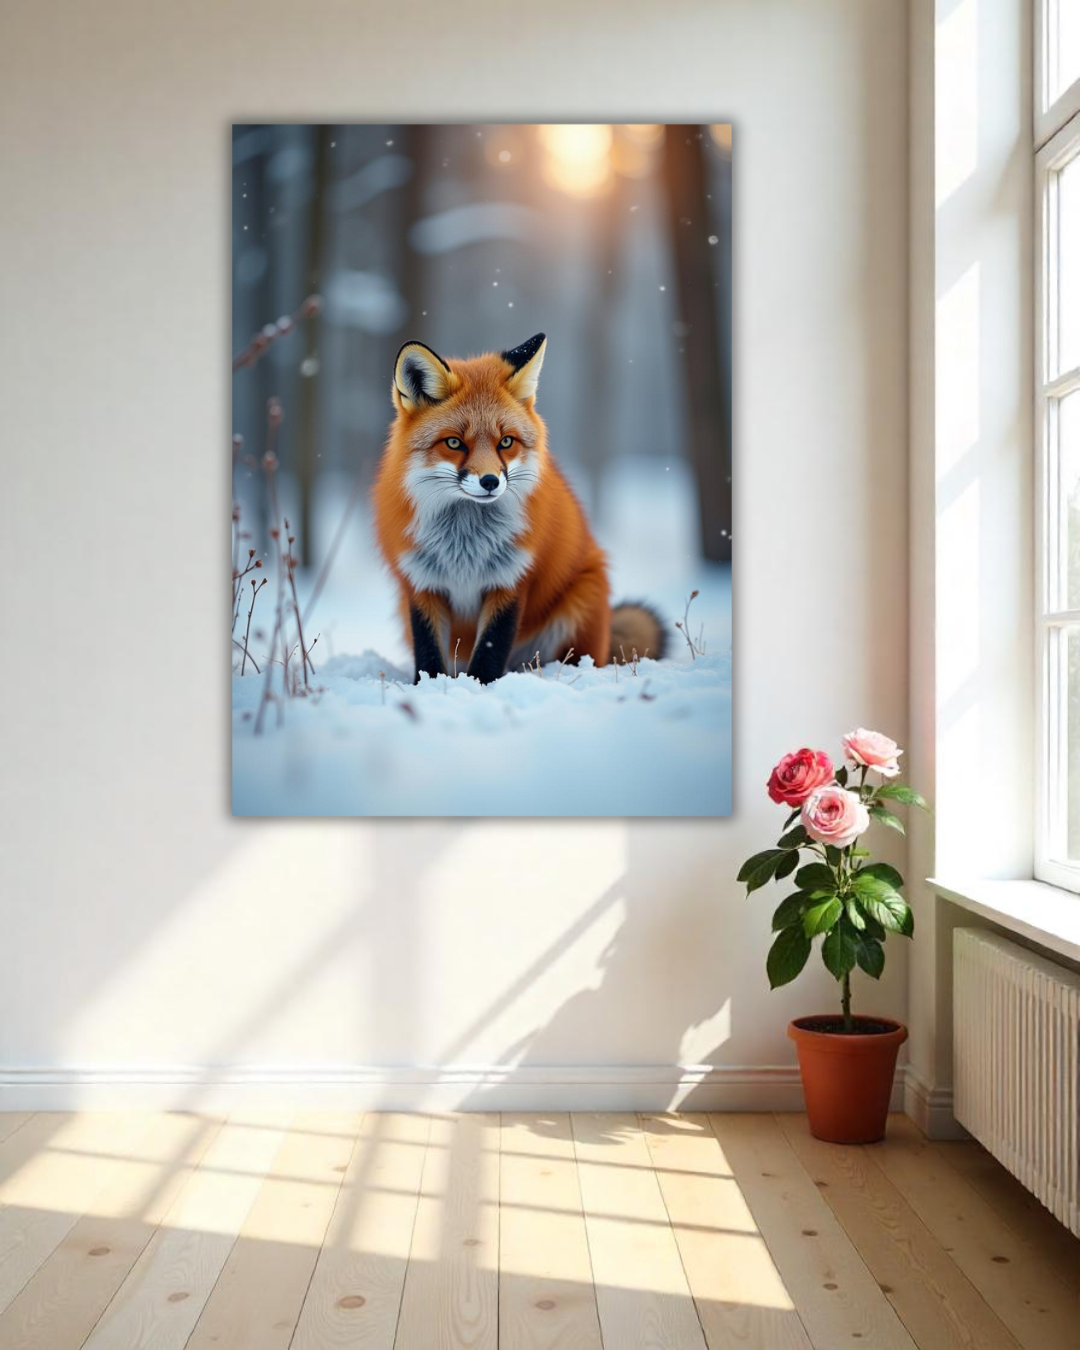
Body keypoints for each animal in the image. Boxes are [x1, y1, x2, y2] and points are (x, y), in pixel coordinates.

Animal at [373, 332, 667, 685]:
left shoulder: (511, 580)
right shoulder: (421, 583)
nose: (489, 481)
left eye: (506, 442)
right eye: (454, 443)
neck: (464, 545)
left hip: (579, 607)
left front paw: (480, 686)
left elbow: (491, 648)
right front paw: (429, 686)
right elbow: (429, 653)